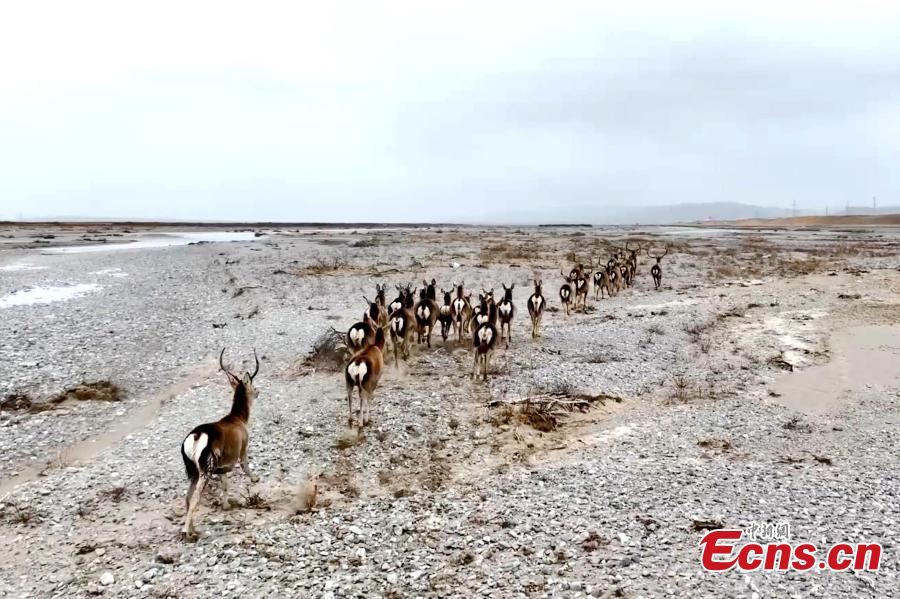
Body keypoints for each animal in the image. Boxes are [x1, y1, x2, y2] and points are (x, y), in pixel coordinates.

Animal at [181, 348, 260, 538]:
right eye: (252, 386)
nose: (258, 391)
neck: (237, 419)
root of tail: (196, 436)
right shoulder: (243, 447)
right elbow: (245, 466)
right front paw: (255, 478)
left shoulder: (222, 466)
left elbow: (225, 484)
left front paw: (226, 505)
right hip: (205, 469)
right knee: (194, 499)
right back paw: (188, 532)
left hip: (193, 471)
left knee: (187, 497)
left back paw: (192, 528)